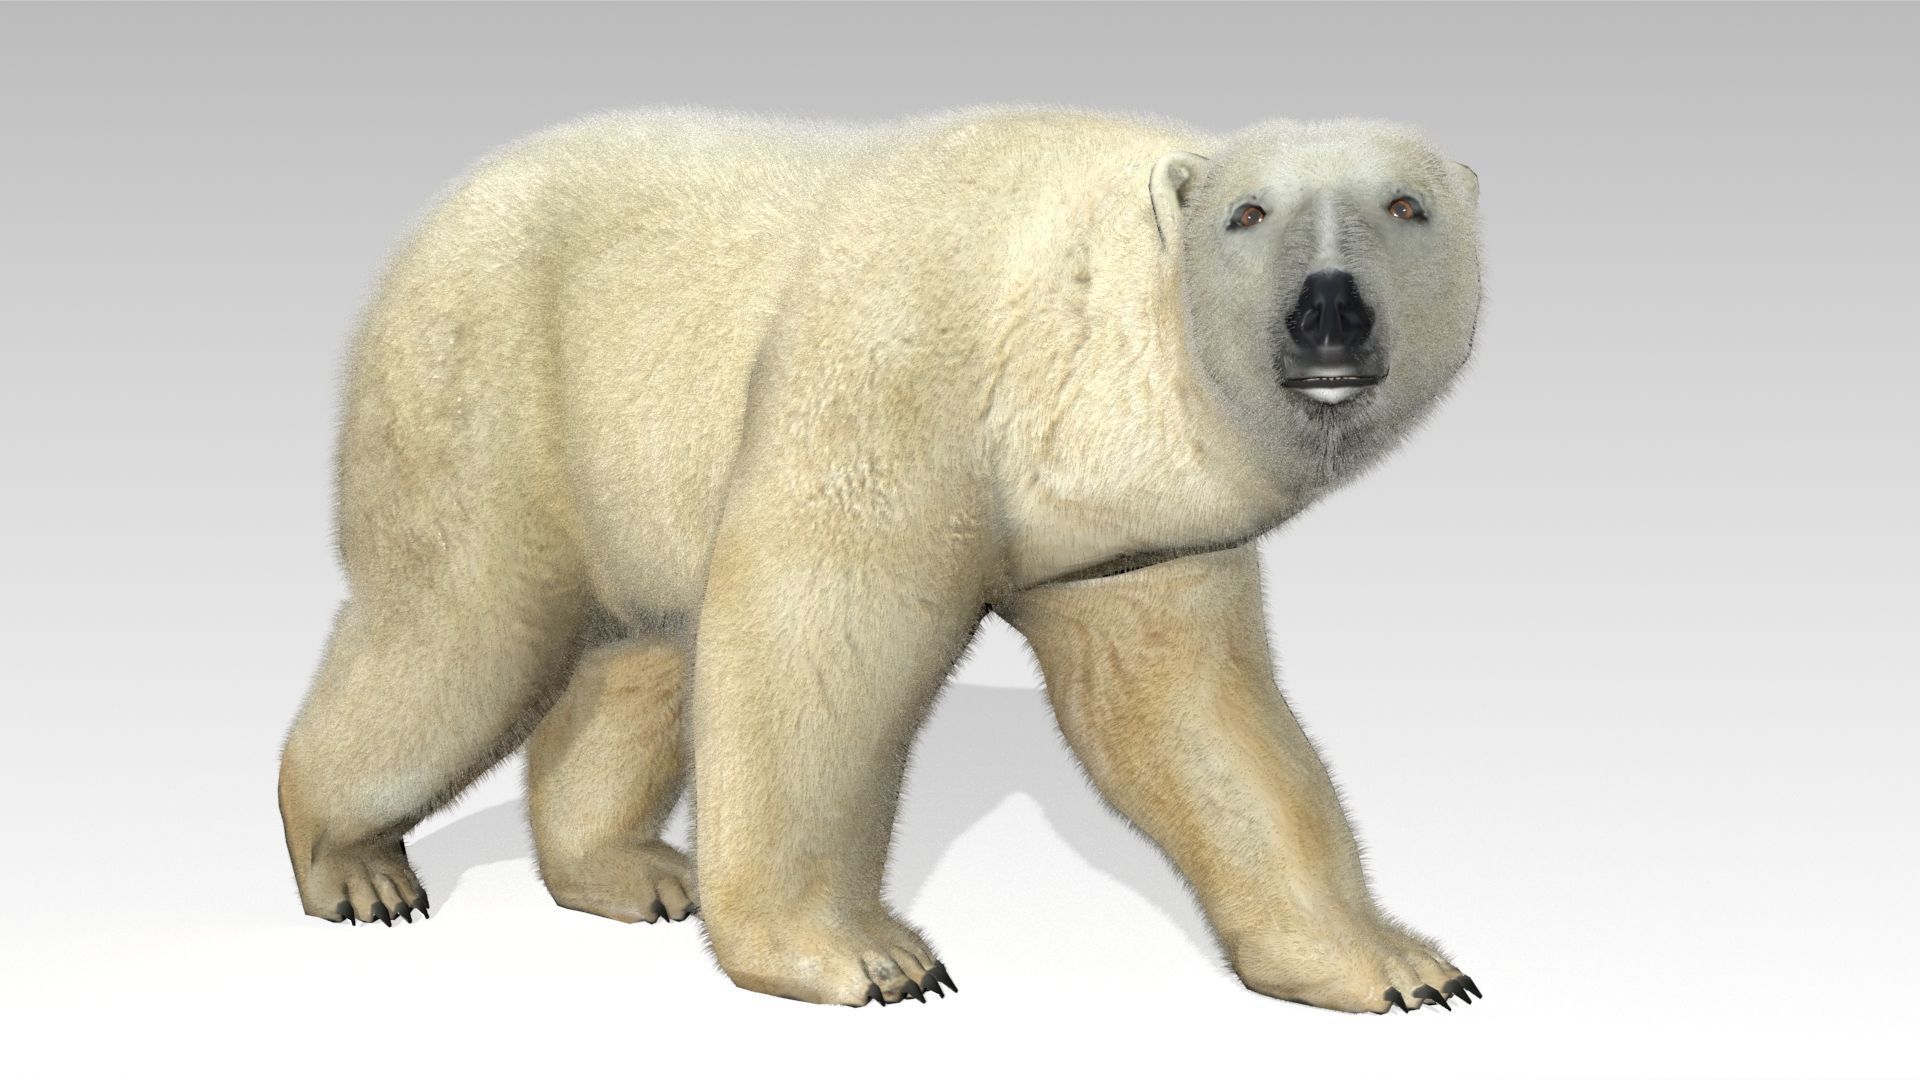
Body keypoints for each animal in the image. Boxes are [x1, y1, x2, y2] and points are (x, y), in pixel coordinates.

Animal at [276, 103, 1486, 1013]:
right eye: (1248, 212)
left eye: (1406, 204)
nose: (1328, 310)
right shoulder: (904, 373)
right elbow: (818, 638)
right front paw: (866, 957)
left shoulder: (1129, 527)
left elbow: (1191, 713)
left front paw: (1400, 965)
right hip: (486, 378)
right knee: (458, 632)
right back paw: (356, 867)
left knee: (639, 654)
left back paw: (632, 870)